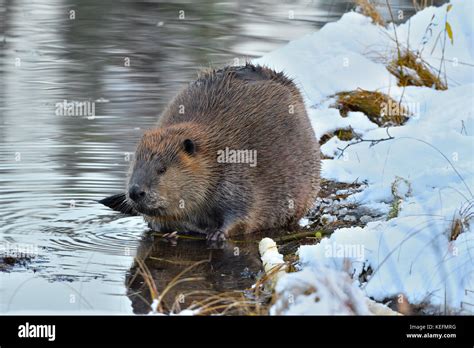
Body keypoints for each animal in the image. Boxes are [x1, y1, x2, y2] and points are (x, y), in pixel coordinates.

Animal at [101, 63, 320, 242]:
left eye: (162, 169)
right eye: (134, 167)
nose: (135, 192)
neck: (214, 153)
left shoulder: (238, 175)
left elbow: (243, 213)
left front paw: (216, 234)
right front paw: (177, 230)